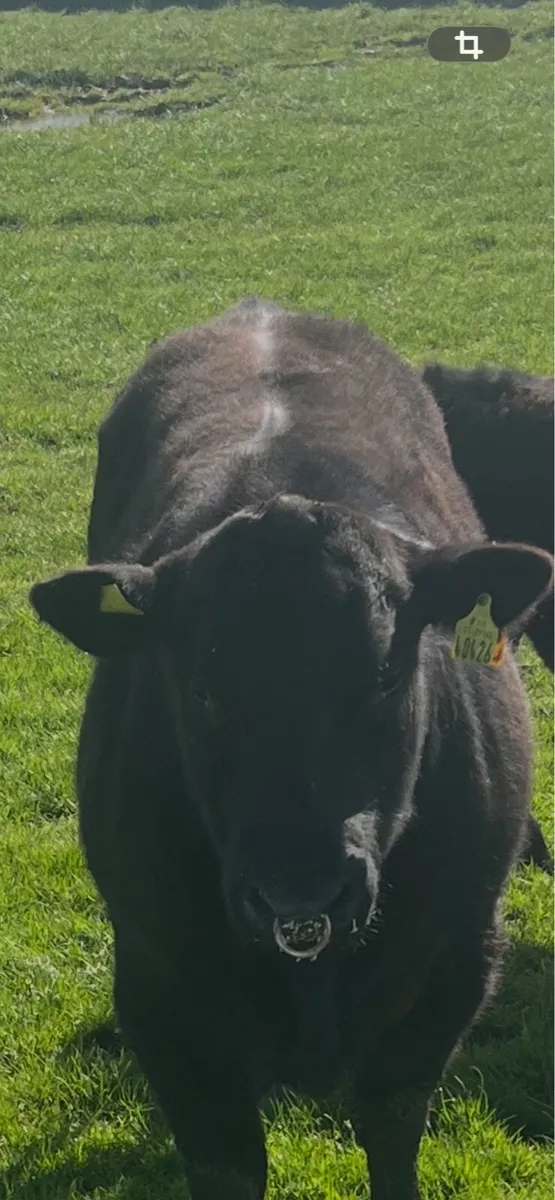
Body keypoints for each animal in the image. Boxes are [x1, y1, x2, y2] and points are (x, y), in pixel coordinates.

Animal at [30, 299, 553, 1200]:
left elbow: (391, 1129)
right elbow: (229, 1164)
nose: (300, 892)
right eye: (201, 688)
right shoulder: (159, 990)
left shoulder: (454, 966)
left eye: (386, 674)